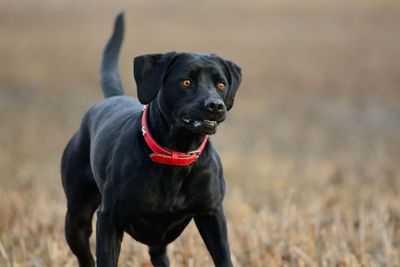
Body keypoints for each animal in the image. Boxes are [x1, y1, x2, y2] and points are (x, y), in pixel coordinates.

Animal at [59, 13, 241, 267]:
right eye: (186, 82)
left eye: (221, 84)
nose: (215, 105)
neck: (176, 155)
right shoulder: (108, 220)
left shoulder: (212, 215)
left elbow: (224, 258)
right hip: (77, 218)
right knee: (84, 254)